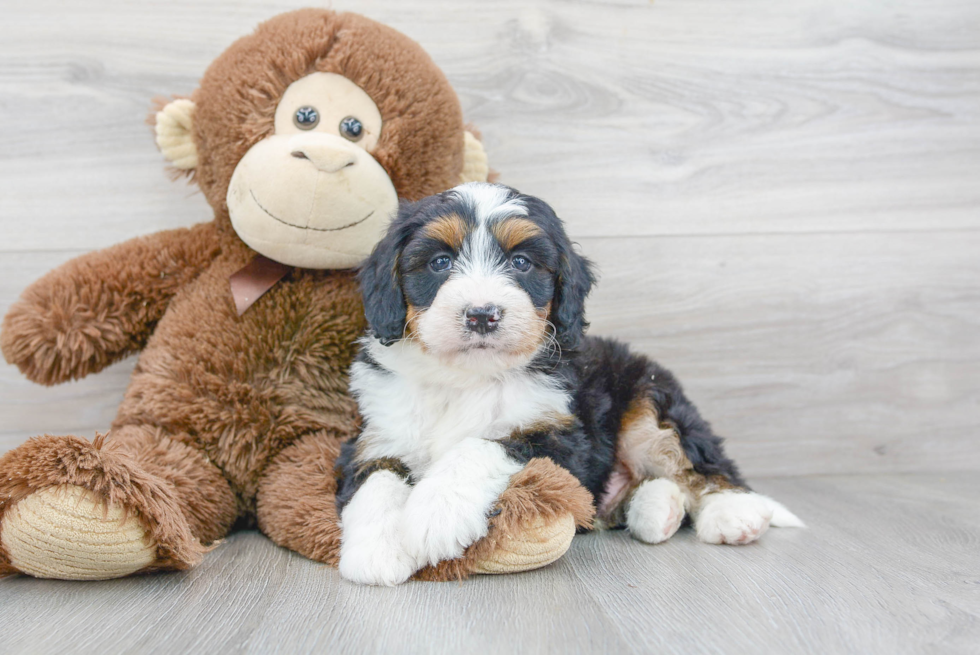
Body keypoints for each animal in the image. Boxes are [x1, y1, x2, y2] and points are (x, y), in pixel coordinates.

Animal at [334, 182, 800, 588]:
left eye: (522, 263)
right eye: (439, 262)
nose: (482, 314)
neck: (466, 376)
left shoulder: (563, 438)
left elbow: (480, 446)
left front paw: (435, 513)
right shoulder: (376, 434)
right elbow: (376, 479)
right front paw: (376, 551)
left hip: (648, 401)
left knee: (698, 462)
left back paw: (734, 512)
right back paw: (657, 510)